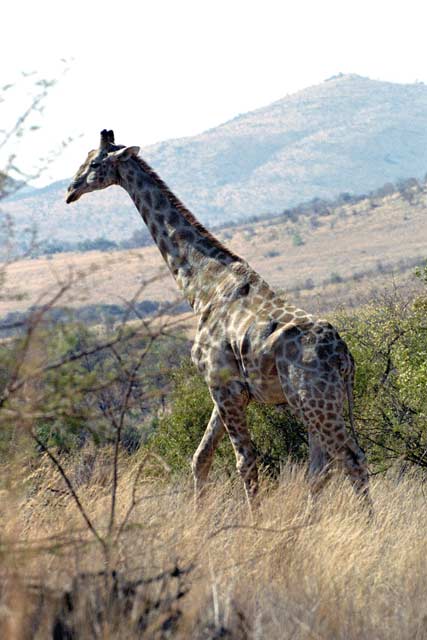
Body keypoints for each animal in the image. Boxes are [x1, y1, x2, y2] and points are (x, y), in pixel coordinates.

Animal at [66, 129, 371, 509]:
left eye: (95, 163)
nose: (70, 190)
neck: (202, 287)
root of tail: (345, 356)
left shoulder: (224, 386)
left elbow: (245, 461)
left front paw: (254, 520)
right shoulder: (223, 388)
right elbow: (201, 458)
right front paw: (198, 516)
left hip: (315, 401)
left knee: (351, 459)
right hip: (314, 403)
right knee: (323, 466)